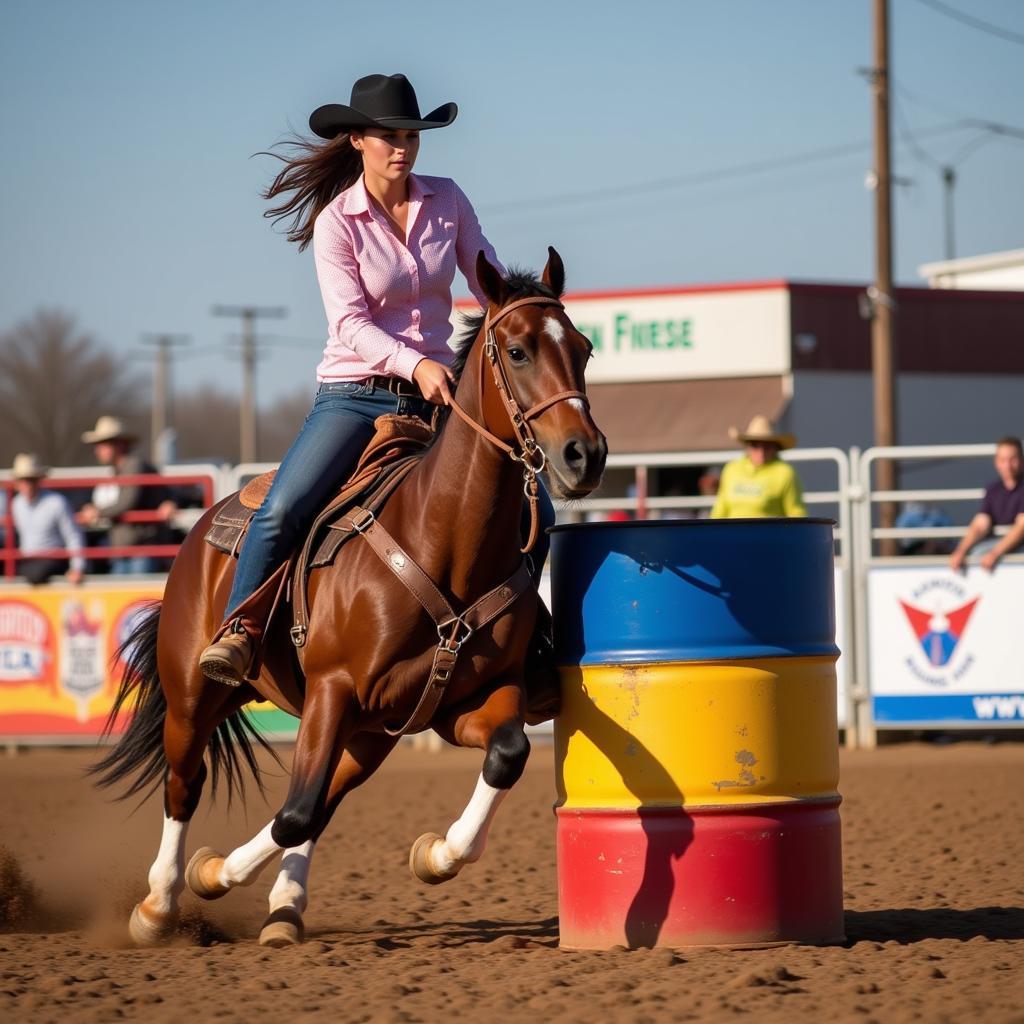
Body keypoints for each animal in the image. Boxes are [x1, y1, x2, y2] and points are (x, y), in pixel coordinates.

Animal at [90, 251, 606, 946]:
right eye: (519, 351)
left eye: (582, 349)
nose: (585, 455)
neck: (442, 540)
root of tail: (201, 529)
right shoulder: (332, 689)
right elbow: (293, 811)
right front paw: (207, 877)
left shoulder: (465, 702)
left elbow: (507, 754)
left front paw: (435, 854)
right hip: (195, 696)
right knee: (187, 784)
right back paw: (159, 906)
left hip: (370, 731)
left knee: (324, 797)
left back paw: (282, 908)